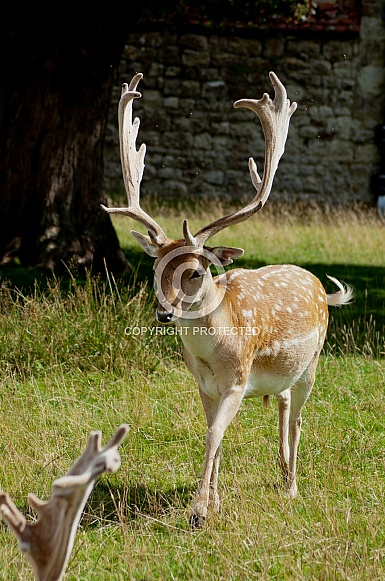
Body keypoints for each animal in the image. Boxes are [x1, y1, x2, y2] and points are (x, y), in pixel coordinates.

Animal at [101, 71, 352, 524]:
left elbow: (215, 433)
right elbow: (210, 431)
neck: (214, 352)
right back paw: (281, 473)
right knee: (283, 401)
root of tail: (321, 287)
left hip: (313, 360)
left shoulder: (237, 379)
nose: (163, 315)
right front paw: (214, 500)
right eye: (155, 269)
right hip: (283, 371)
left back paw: (292, 487)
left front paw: (200, 510)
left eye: (196, 271)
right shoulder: (204, 385)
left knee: (300, 416)